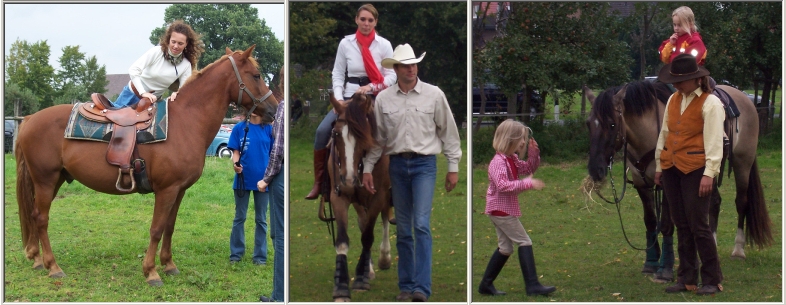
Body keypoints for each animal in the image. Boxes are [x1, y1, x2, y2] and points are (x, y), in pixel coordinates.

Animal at [14, 44, 278, 284]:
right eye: (256, 75)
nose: (274, 109)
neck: (186, 122)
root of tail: (29, 119)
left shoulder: (179, 190)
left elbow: (170, 226)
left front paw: (169, 265)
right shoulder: (166, 190)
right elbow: (156, 229)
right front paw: (151, 272)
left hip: (55, 178)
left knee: (34, 214)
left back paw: (37, 259)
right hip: (45, 179)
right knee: (41, 218)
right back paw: (53, 266)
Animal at [316, 92, 390, 300]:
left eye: (364, 136)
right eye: (335, 134)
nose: (348, 179)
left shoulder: (378, 197)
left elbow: (367, 237)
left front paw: (360, 281)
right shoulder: (339, 197)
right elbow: (342, 240)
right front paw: (341, 288)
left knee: (384, 219)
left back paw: (384, 258)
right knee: (364, 223)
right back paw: (368, 269)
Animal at [584, 79, 768, 276]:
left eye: (612, 125)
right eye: (588, 124)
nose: (595, 169)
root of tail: (746, 99)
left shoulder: (666, 184)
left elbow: (666, 224)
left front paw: (666, 267)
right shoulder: (641, 184)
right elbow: (650, 222)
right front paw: (651, 262)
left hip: (743, 163)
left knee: (741, 202)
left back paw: (738, 250)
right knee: (715, 202)